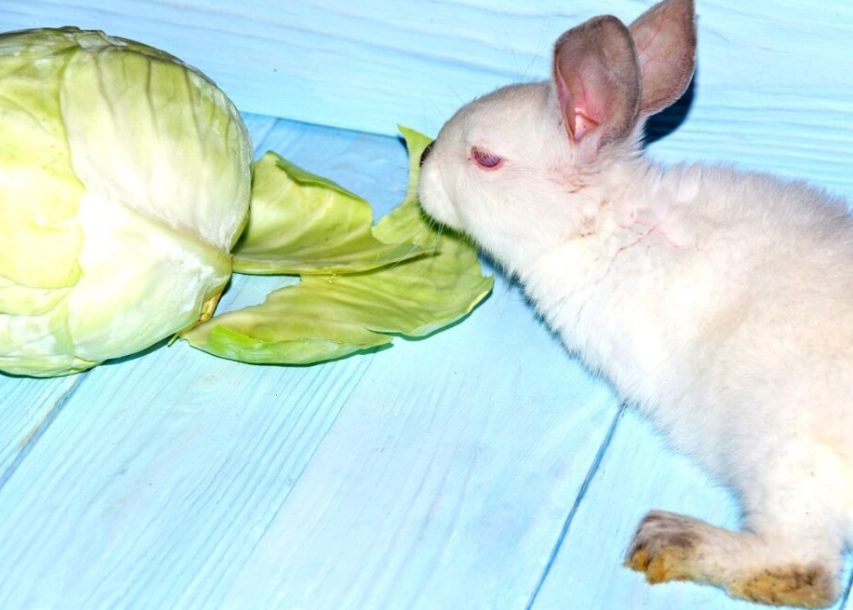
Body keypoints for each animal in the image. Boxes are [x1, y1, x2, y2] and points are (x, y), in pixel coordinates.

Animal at [417, 0, 853, 607]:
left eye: (484, 159)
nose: (423, 161)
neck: (607, 221)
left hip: (782, 456)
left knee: (804, 571)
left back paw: (668, 538)